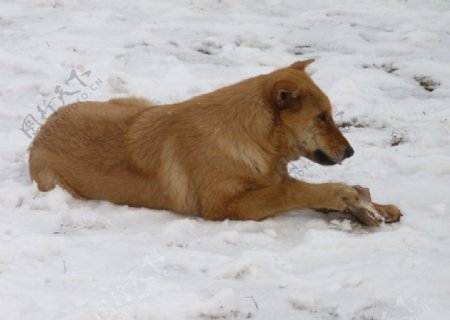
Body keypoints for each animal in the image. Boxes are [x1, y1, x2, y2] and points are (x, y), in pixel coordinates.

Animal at [28, 61, 400, 224]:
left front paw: (377, 206)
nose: (351, 151)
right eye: (322, 117)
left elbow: (295, 187)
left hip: (138, 105)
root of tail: (43, 126)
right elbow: (292, 191)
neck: (249, 138)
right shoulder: (226, 206)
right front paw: (339, 193)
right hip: (55, 184)